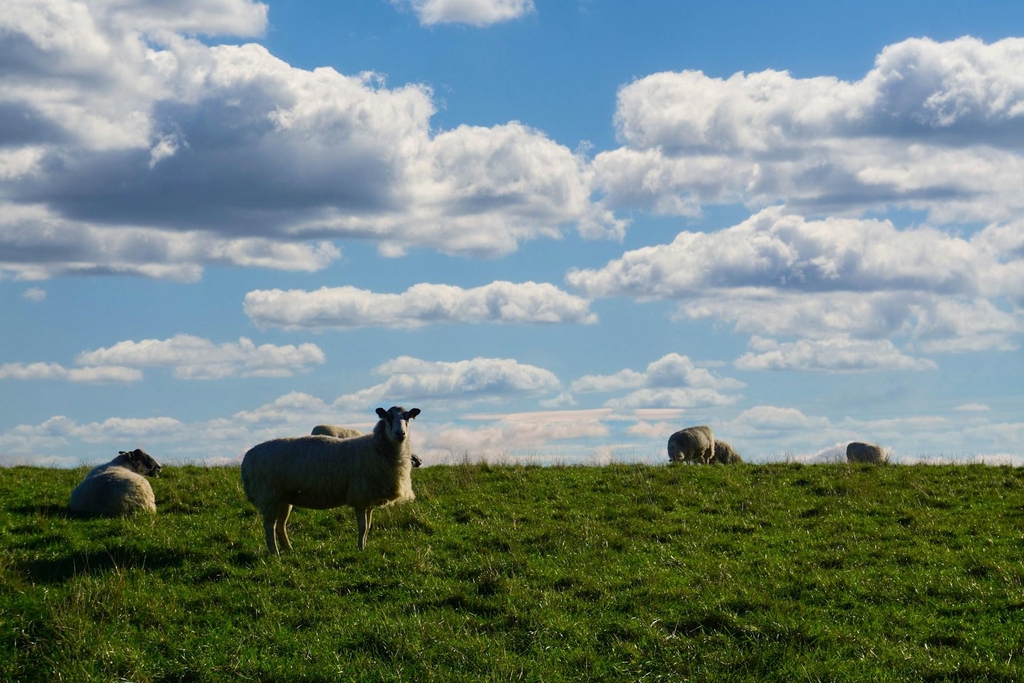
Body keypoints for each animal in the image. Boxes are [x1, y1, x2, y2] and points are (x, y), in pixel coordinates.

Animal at [243, 406, 421, 553]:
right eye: (388, 418)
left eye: (407, 418)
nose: (400, 434)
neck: (375, 448)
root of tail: (247, 458)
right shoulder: (359, 496)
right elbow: (363, 527)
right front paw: (360, 549)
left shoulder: (368, 499)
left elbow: (368, 526)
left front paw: (364, 546)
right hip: (268, 496)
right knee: (269, 526)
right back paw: (275, 553)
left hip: (282, 499)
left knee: (280, 526)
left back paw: (289, 549)